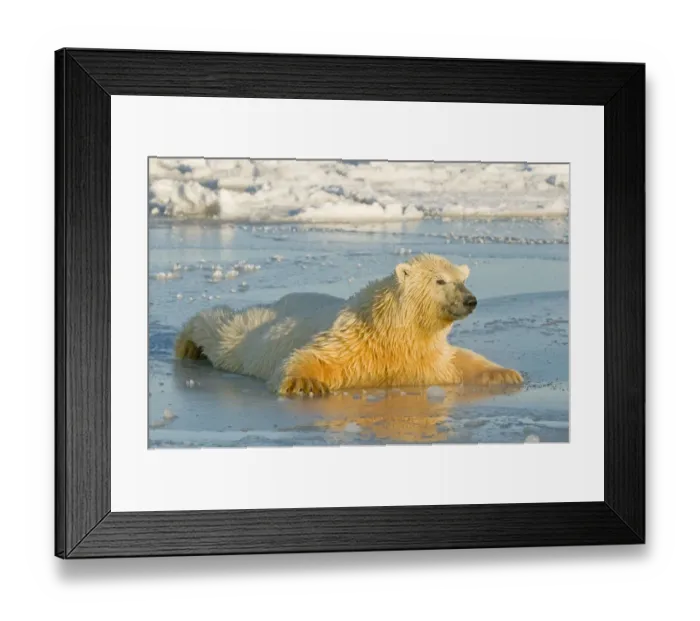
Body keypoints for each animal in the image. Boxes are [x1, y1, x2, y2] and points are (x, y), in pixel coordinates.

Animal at [174, 253, 523, 395]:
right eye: (440, 280)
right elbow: (317, 355)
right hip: (256, 331)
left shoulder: (425, 357)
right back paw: (187, 344)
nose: (471, 300)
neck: (393, 332)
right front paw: (306, 383)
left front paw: (505, 373)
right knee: (225, 331)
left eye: (462, 280)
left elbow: (460, 361)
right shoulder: (354, 341)